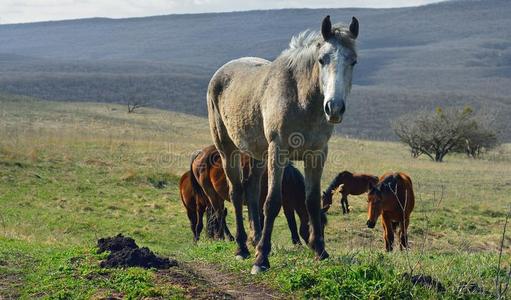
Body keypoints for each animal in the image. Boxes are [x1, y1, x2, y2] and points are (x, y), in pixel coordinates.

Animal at [206, 15, 358, 274]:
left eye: (354, 61)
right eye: (322, 59)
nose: (334, 107)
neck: (302, 100)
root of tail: (220, 73)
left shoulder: (317, 154)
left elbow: (311, 200)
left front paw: (320, 251)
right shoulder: (278, 151)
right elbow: (272, 202)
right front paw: (261, 260)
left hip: (258, 155)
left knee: (251, 190)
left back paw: (256, 239)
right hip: (227, 150)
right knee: (237, 193)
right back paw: (242, 248)